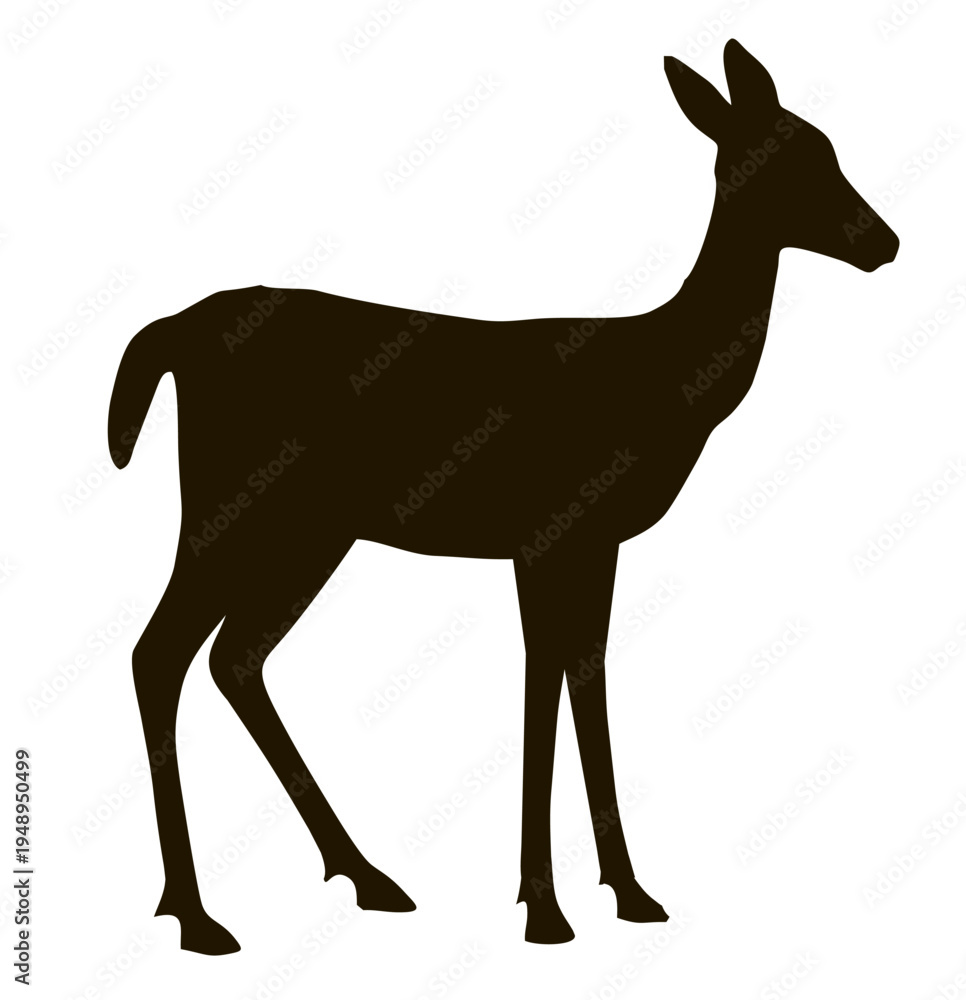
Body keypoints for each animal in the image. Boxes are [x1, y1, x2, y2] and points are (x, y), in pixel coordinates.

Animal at [108, 40, 899, 954]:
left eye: (827, 146)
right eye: (797, 158)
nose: (885, 242)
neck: (664, 379)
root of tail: (169, 335)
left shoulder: (594, 540)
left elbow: (585, 675)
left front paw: (629, 892)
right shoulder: (543, 531)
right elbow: (542, 680)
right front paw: (546, 909)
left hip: (311, 530)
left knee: (234, 657)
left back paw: (365, 877)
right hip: (227, 504)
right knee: (160, 651)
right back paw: (196, 913)